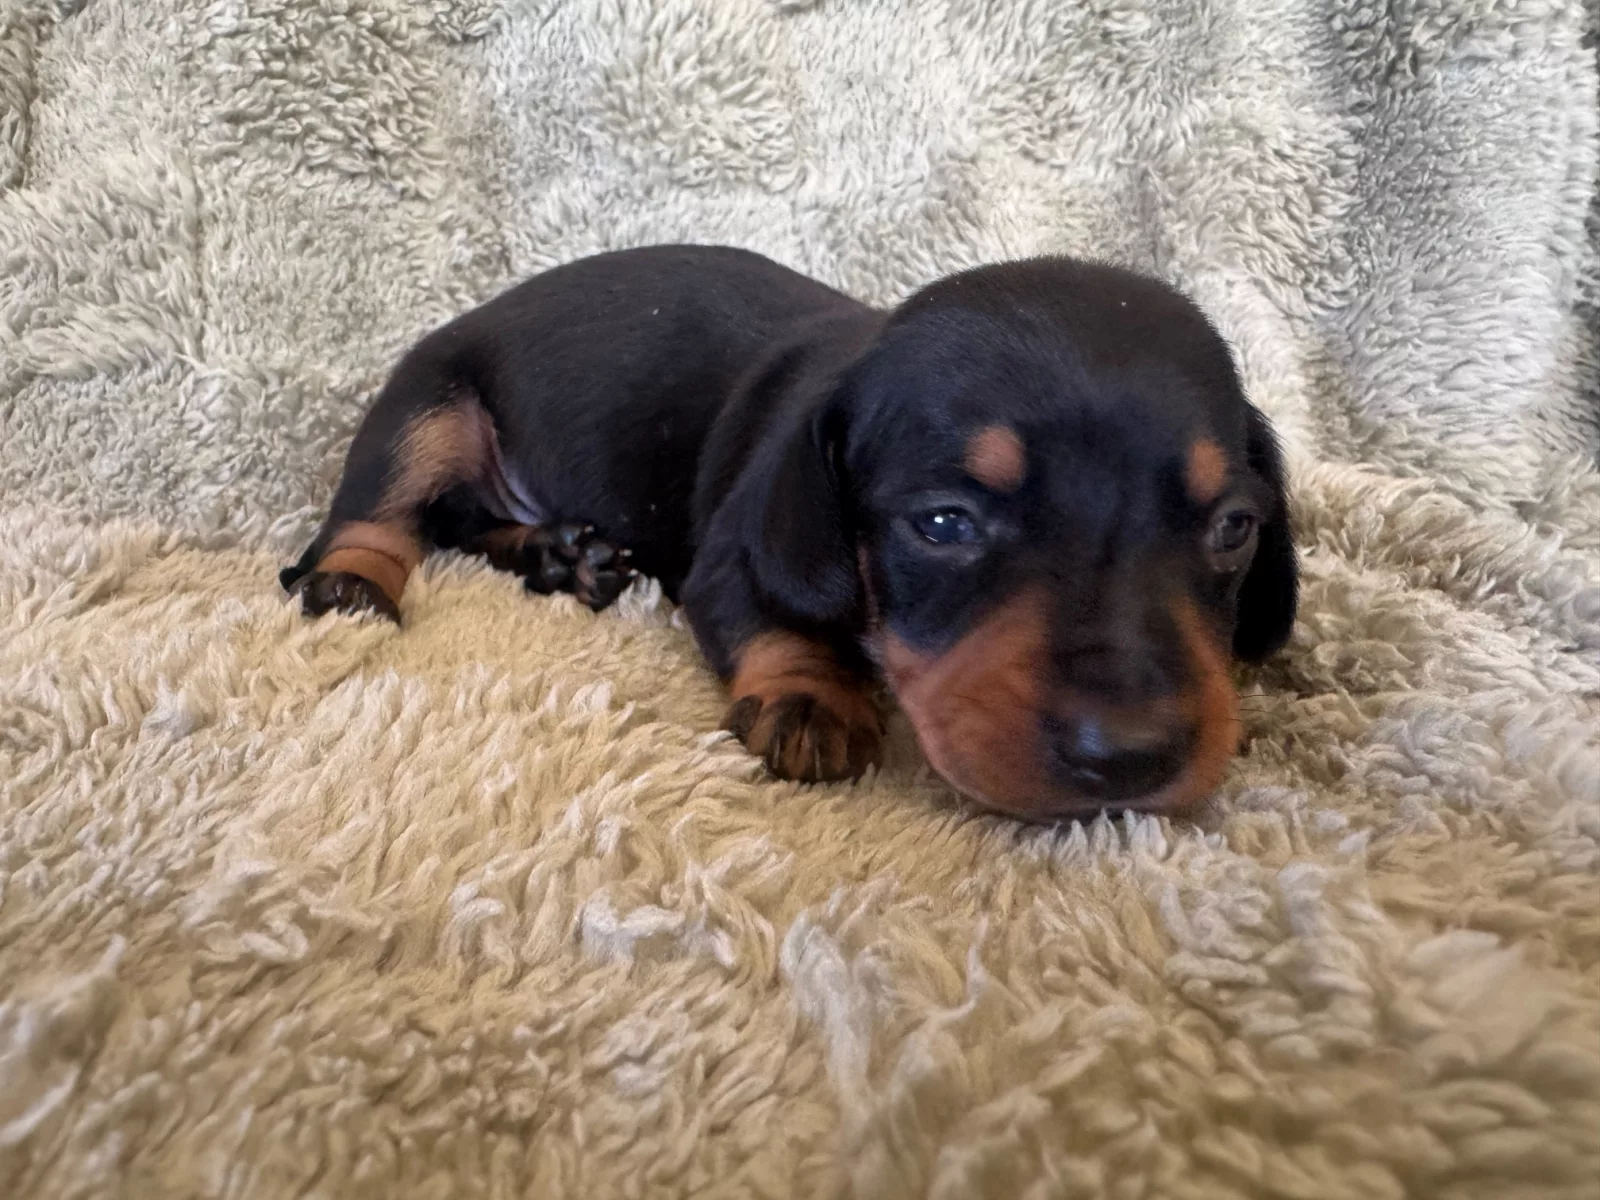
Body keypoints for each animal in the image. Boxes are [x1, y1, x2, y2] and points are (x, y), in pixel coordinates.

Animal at [282, 245, 1297, 821]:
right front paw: (814, 697)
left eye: (1235, 528)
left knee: (468, 520)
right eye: (944, 523)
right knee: (380, 513)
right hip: (429, 401)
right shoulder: (734, 560)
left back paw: (560, 554)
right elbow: (779, 620)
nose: (1129, 756)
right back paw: (354, 581)